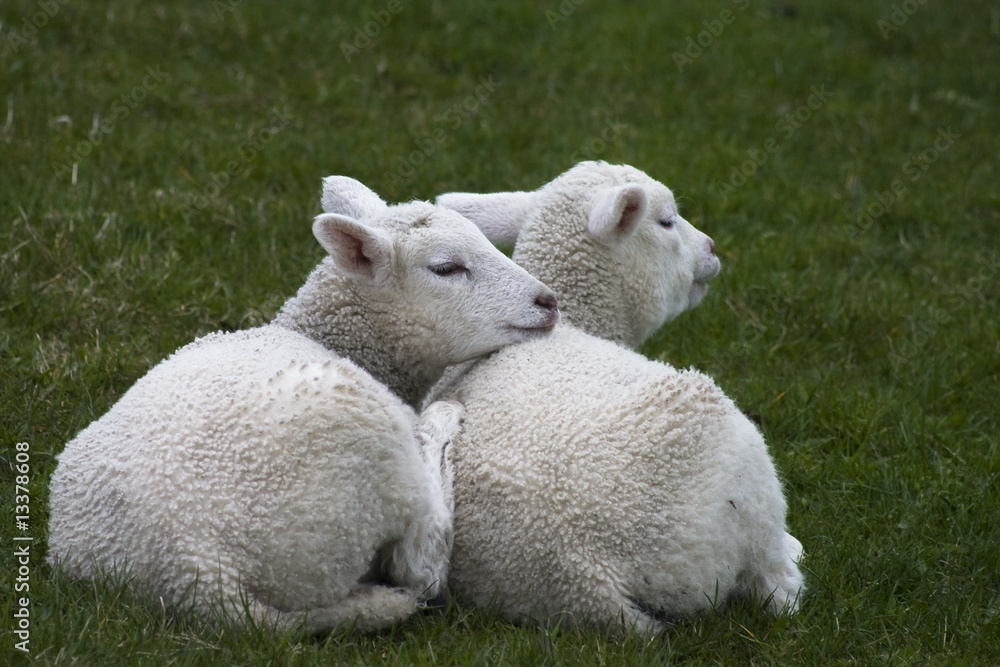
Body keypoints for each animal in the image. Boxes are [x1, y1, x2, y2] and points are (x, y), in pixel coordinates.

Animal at [46, 176, 560, 634]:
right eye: (446, 268)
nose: (548, 302)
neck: (322, 336)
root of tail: (198, 567)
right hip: (367, 470)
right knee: (422, 565)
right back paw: (440, 424)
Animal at [427, 161, 804, 635]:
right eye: (666, 222)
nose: (712, 248)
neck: (576, 319)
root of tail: (591, 574)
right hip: (750, 492)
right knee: (779, 587)